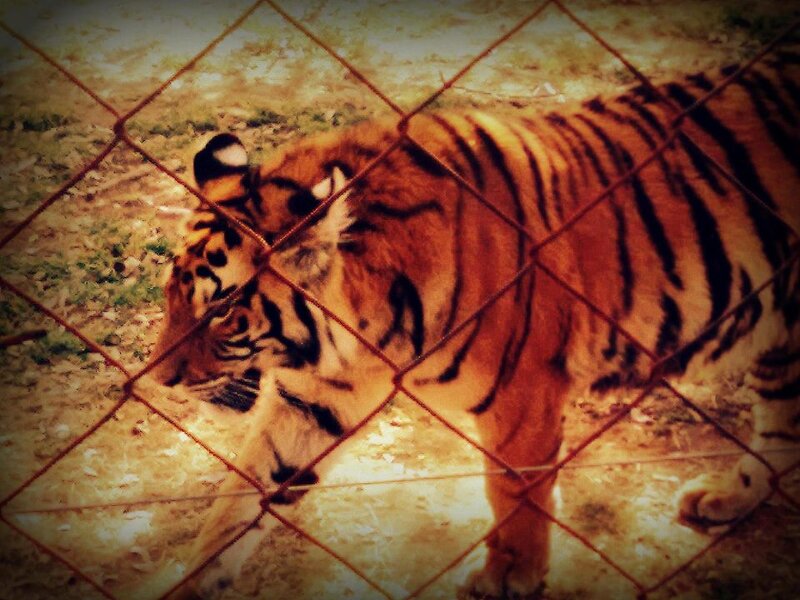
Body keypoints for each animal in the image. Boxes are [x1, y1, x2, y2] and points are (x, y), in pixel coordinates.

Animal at [146, 48, 800, 599]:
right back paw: (725, 498)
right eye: (172, 293)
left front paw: (509, 580)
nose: (159, 380)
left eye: (222, 310)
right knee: (782, 432)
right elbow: (241, 499)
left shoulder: (525, 398)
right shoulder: (314, 402)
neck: (361, 337)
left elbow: (514, 493)